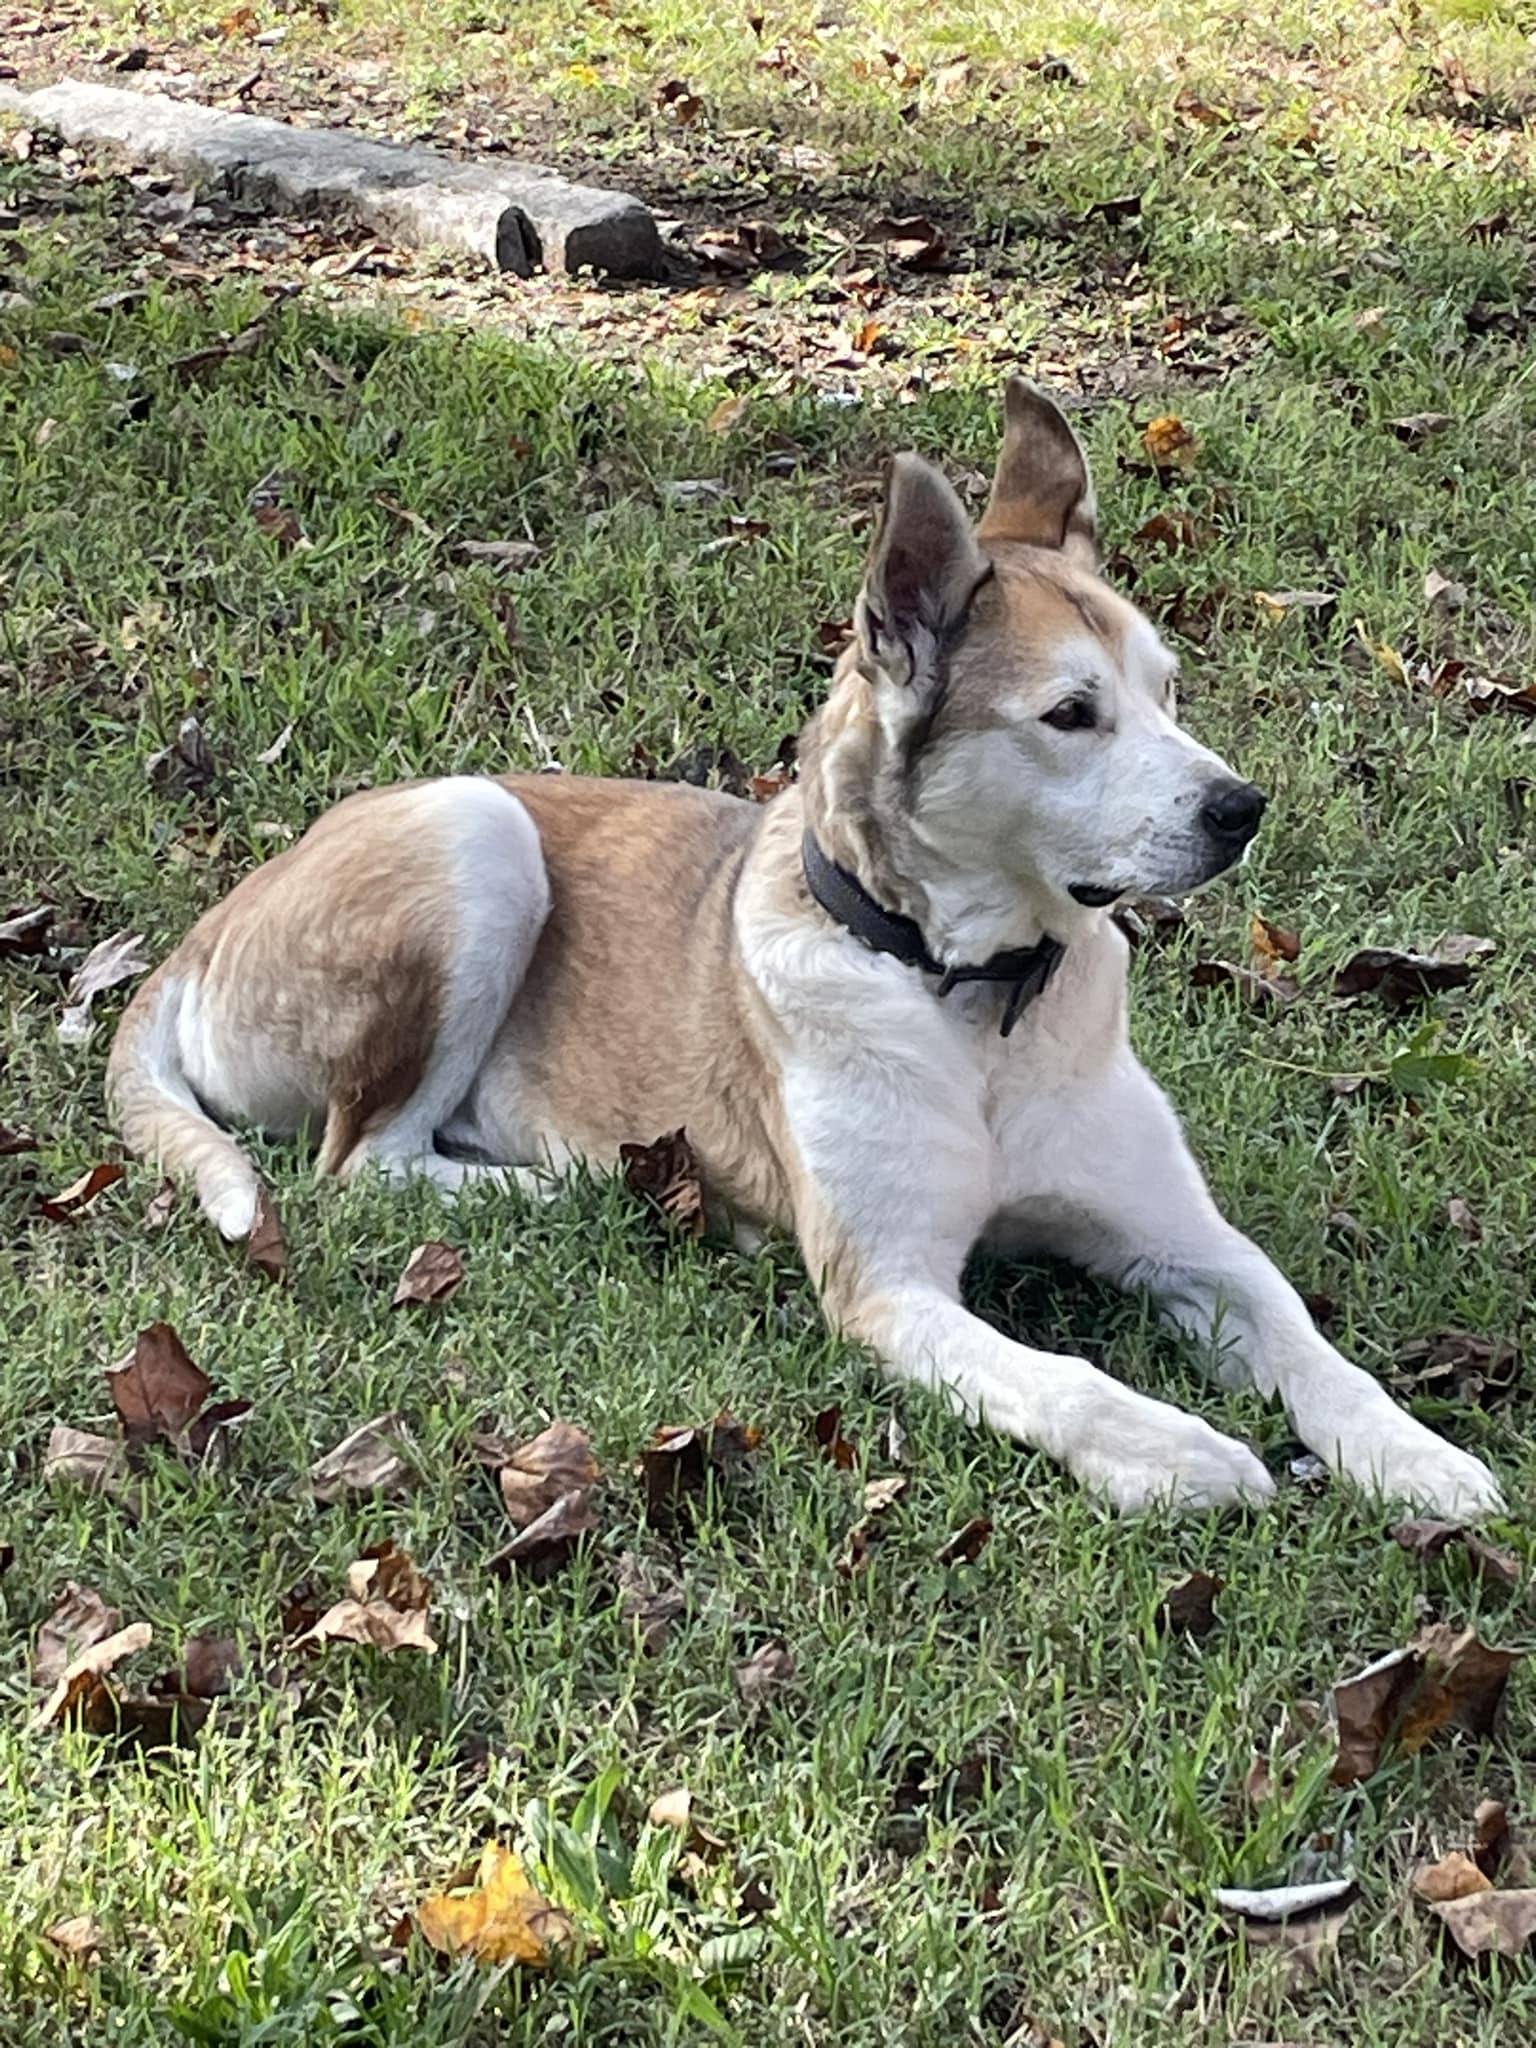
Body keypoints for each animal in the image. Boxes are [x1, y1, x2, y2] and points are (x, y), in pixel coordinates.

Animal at [108, 376, 1507, 1523]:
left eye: (1168, 689)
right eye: (1071, 714)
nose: (1243, 809)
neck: (972, 996)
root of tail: (207, 925)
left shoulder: (1191, 1245)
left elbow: (1309, 1341)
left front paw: (1417, 1455)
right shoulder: (892, 1289)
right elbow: (1062, 1374)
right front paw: (1176, 1453)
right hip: (474, 828)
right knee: (364, 1162)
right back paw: (572, 1183)